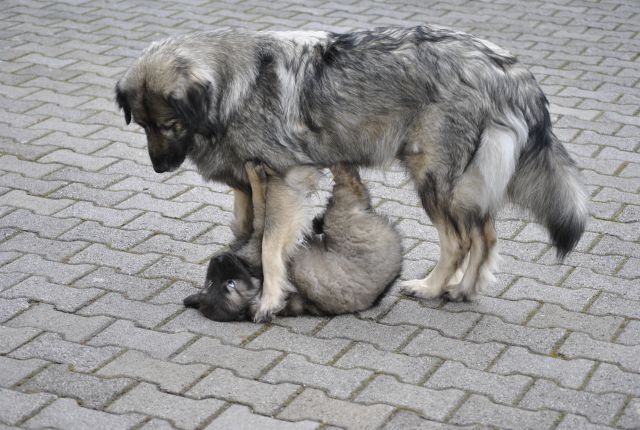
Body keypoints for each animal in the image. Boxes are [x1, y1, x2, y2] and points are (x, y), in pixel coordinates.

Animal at [114, 26, 584, 322]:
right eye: (142, 124)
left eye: (169, 125)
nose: (159, 166)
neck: (237, 86)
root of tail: (508, 68)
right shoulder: (251, 180)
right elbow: (251, 228)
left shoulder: (284, 178)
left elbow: (270, 243)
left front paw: (268, 298)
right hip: (465, 184)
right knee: (485, 235)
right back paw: (463, 289)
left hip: (432, 177)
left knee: (460, 240)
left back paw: (432, 287)